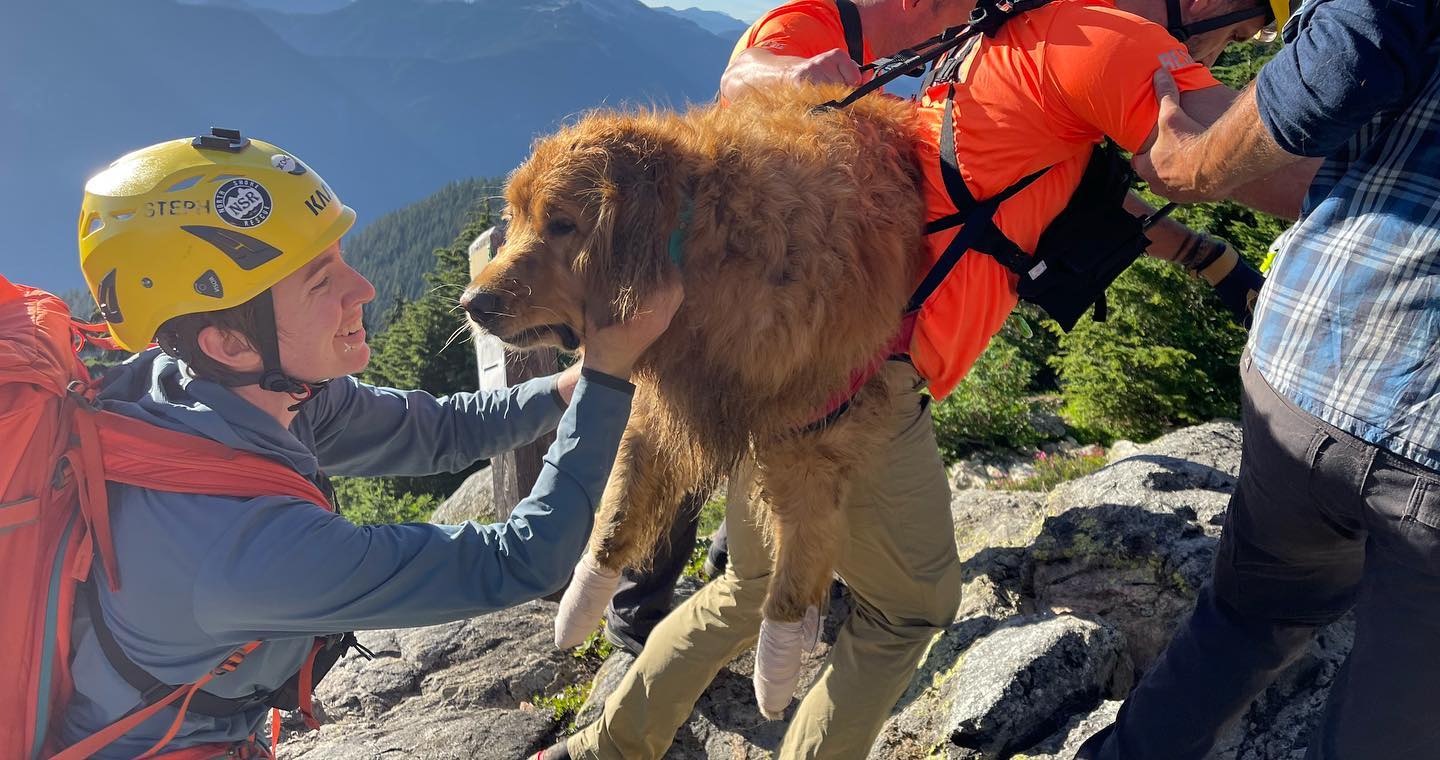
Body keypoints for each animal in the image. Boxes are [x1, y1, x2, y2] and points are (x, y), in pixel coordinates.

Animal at [466, 86, 927, 716]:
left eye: (562, 223)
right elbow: (619, 504)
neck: (702, 247)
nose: (472, 303)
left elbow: (803, 543)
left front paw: (778, 656)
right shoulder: (664, 401)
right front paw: (583, 596)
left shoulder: (815, 424)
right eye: (515, 221)